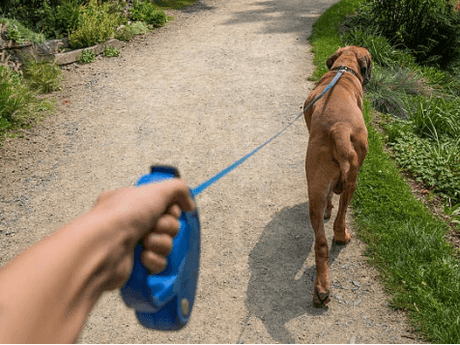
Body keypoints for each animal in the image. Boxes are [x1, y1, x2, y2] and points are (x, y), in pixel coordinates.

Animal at [304, 45, 372, 306]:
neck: (344, 69)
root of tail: (339, 129)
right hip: (353, 180)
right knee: (340, 218)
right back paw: (343, 237)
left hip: (316, 187)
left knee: (321, 243)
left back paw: (321, 290)